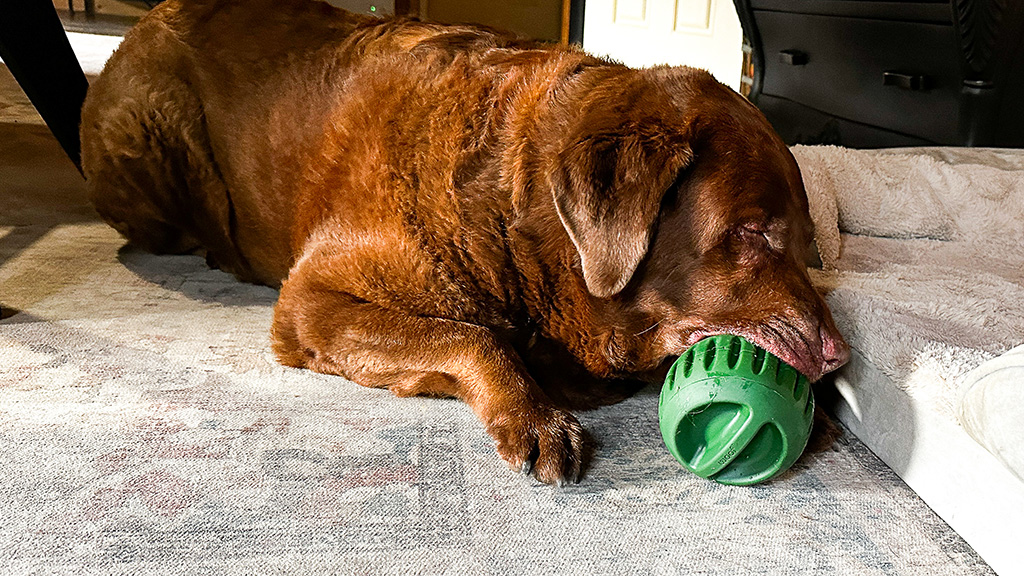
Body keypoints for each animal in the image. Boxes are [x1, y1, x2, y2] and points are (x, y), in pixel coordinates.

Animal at [77, 0, 847, 483]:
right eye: (751, 233)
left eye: (808, 241)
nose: (840, 356)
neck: (518, 214)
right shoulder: (311, 300)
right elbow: (471, 336)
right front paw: (536, 415)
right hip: (155, 133)